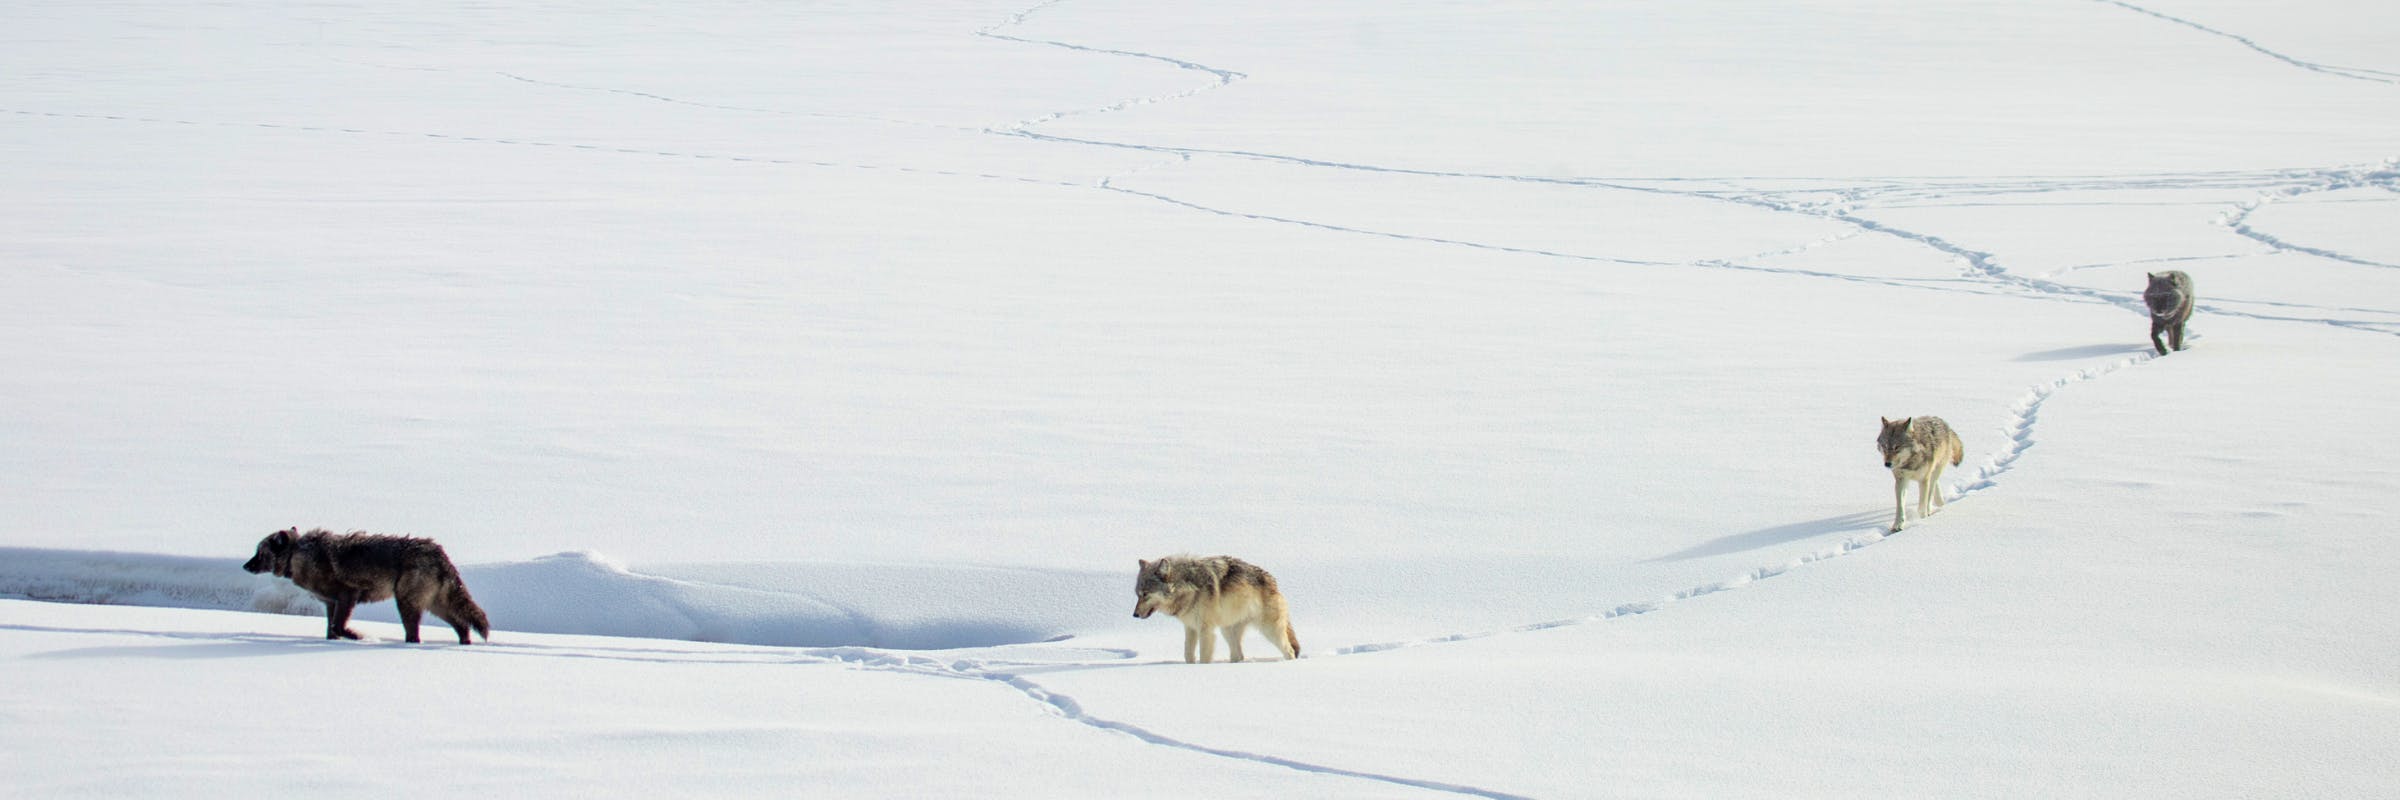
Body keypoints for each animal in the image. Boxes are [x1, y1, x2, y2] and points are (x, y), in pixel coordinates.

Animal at [243, 528, 490, 644]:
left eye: (259, 553)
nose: (245, 566)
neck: (298, 555)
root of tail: (439, 552)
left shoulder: (348, 596)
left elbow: (339, 627)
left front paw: (360, 637)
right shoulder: (331, 603)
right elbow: (331, 630)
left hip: (409, 604)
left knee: (417, 635)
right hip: (434, 605)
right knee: (462, 625)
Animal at [1133, 555, 1300, 663]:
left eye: (1145, 594)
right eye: (1137, 594)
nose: (1134, 614)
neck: (1187, 586)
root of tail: (1274, 582)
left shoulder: (1206, 630)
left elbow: (1204, 658)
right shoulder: (1190, 628)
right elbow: (1188, 654)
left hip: (1270, 631)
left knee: (1290, 651)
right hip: (1227, 631)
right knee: (1239, 656)